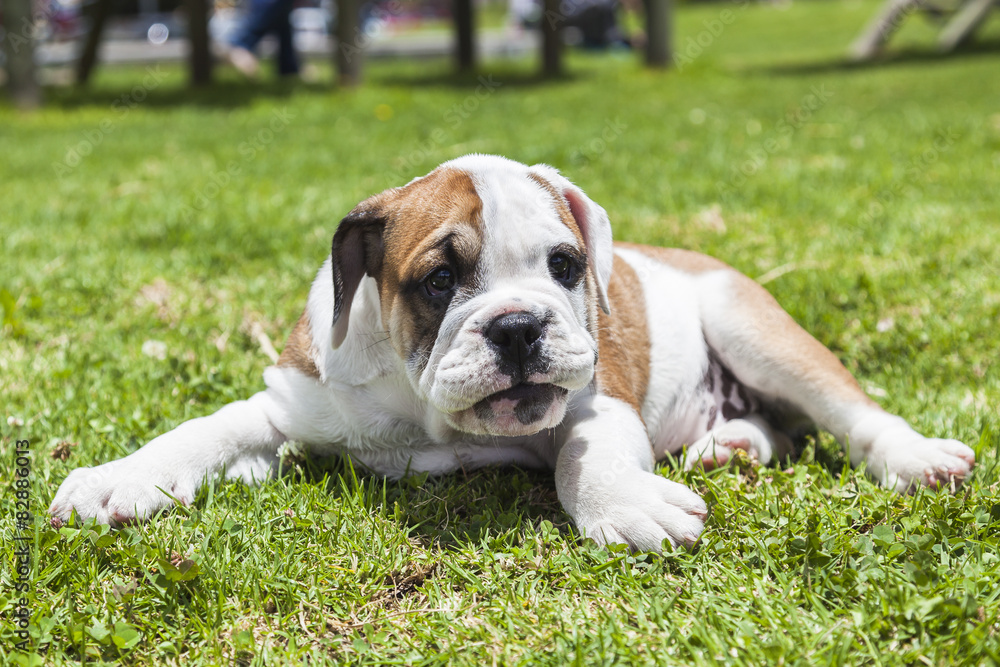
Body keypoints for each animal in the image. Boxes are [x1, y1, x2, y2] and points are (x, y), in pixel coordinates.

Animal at [48, 154, 976, 552]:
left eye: (565, 266)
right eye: (438, 280)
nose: (520, 325)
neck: (424, 411)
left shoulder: (596, 401)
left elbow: (582, 454)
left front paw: (626, 506)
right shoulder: (289, 403)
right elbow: (204, 428)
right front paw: (117, 478)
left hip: (752, 324)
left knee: (849, 413)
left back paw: (915, 457)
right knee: (777, 427)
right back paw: (732, 444)